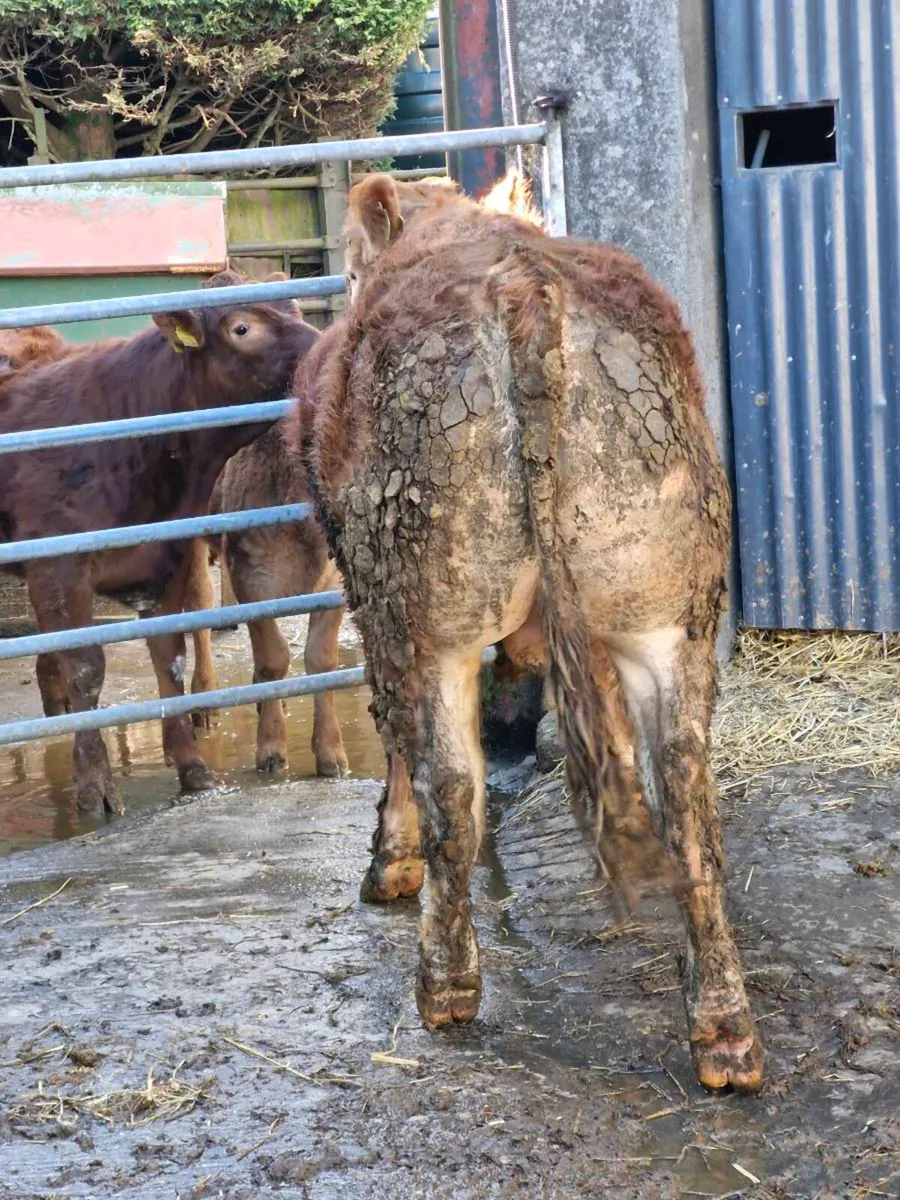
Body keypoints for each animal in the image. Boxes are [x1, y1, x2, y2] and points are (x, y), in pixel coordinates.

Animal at [0, 274, 318, 815]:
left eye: (295, 307)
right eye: (242, 327)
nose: (327, 344)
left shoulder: (170, 555)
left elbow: (170, 658)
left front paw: (191, 766)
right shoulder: (60, 569)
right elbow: (85, 669)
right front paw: (95, 787)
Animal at [294, 171, 763, 1094]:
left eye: (354, 267)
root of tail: (523, 285)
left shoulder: (370, 596)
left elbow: (396, 746)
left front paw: (389, 861)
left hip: (425, 606)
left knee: (452, 781)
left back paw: (446, 985)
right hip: (667, 598)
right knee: (685, 779)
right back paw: (722, 1026)